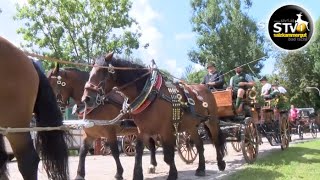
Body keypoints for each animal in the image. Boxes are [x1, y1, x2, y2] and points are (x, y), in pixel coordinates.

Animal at [82, 52, 228, 180]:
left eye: (102, 71)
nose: (86, 98)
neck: (150, 93)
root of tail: (205, 88)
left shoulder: (166, 130)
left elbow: (168, 155)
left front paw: (172, 174)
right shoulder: (143, 130)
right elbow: (139, 153)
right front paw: (137, 175)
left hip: (211, 121)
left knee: (216, 140)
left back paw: (221, 164)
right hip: (191, 126)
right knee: (199, 145)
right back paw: (201, 168)